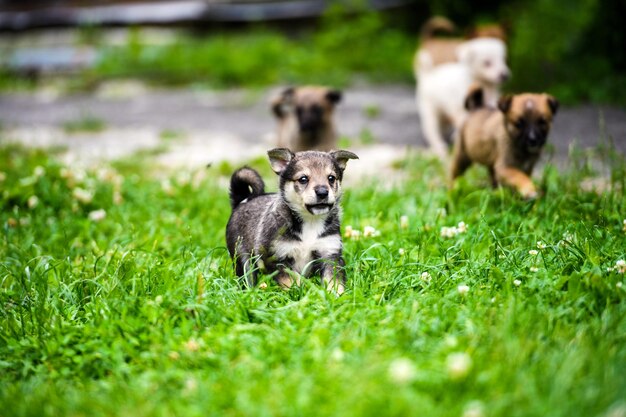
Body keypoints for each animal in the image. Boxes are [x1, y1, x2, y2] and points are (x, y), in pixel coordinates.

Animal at [227, 148, 358, 294]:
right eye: (303, 179)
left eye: (331, 178)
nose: (322, 192)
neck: (310, 221)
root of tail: (243, 200)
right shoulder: (276, 258)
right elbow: (292, 280)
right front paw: (301, 292)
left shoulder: (330, 254)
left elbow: (334, 282)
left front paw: (337, 296)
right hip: (242, 257)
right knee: (247, 276)